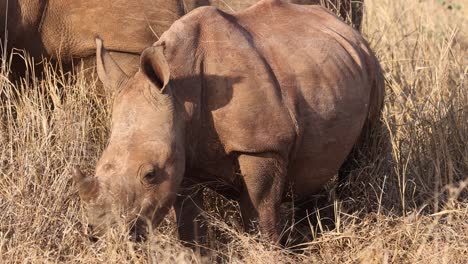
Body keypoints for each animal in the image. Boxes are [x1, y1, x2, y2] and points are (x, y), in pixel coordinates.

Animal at [74, 0, 384, 244]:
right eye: (99, 167)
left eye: (150, 174)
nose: (102, 233)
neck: (180, 93)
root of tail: (345, 27)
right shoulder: (183, 151)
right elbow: (188, 220)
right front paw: (197, 253)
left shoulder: (262, 146)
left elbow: (260, 210)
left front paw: (266, 249)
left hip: (371, 65)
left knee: (363, 148)